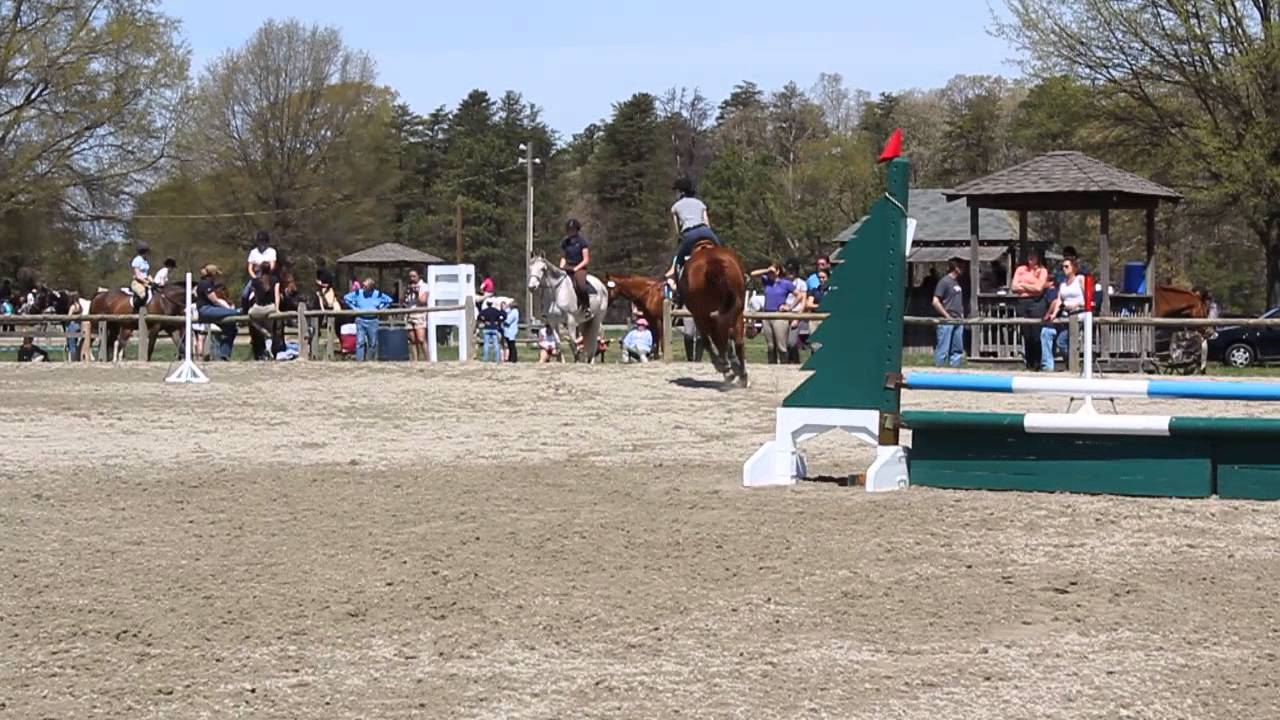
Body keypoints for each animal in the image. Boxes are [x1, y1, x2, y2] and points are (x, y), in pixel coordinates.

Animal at [680, 239, 748, 387]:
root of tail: (712, 261)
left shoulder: (699, 316)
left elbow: (707, 341)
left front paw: (726, 367)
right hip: (736, 311)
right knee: (736, 340)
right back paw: (741, 374)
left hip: (702, 315)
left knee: (716, 338)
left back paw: (725, 367)